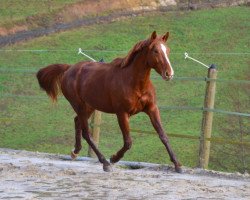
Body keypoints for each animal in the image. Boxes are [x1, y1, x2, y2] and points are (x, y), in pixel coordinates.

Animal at [37, 30, 182, 172]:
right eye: (155, 51)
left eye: (168, 50)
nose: (169, 73)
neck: (135, 83)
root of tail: (69, 68)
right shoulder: (122, 113)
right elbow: (128, 142)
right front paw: (113, 158)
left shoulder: (152, 109)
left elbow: (163, 135)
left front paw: (177, 165)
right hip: (79, 105)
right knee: (86, 133)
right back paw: (105, 163)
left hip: (89, 107)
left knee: (77, 122)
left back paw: (75, 152)